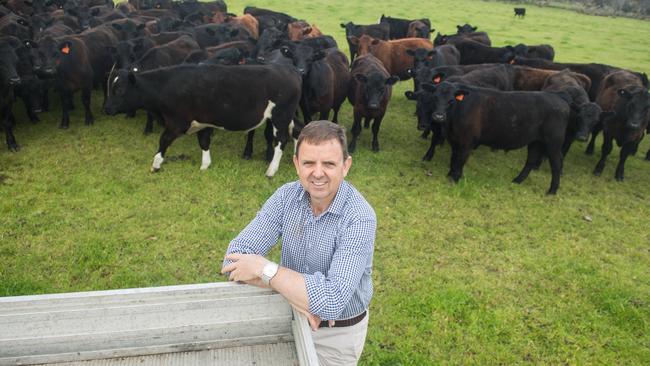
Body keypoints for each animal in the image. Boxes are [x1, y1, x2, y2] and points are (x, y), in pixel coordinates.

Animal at [104, 63, 302, 177]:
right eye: (109, 87)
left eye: (119, 89)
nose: (106, 108)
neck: (165, 86)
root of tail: (290, 70)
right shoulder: (204, 122)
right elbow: (204, 142)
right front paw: (205, 165)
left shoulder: (177, 123)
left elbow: (163, 141)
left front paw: (156, 165)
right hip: (289, 115)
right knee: (298, 130)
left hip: (280, 116)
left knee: (281, 140)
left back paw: (271, 170)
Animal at [420, 80, 568, 194]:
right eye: (434, 97)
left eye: (451, 100)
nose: (438, 116)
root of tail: (558, 97)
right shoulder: (455, 140)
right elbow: (454, 159)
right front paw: (451, 175)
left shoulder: (467, 142)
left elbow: (460, 160)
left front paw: (454, 179)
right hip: (535, 141)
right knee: (531, 161)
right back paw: (517, 181)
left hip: (553, 143)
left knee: (556, 163)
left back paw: (552, 190)